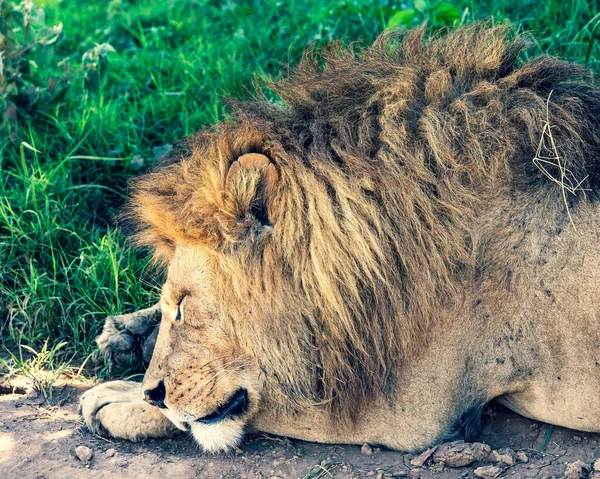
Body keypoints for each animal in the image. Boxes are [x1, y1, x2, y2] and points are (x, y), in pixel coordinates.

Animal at [79, 23, 600, 454]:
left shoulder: (406, 409)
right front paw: (127, 334)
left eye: (187, 306)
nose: (154, 393)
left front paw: (115, 399)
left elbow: (268, 404)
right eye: (174, 304)